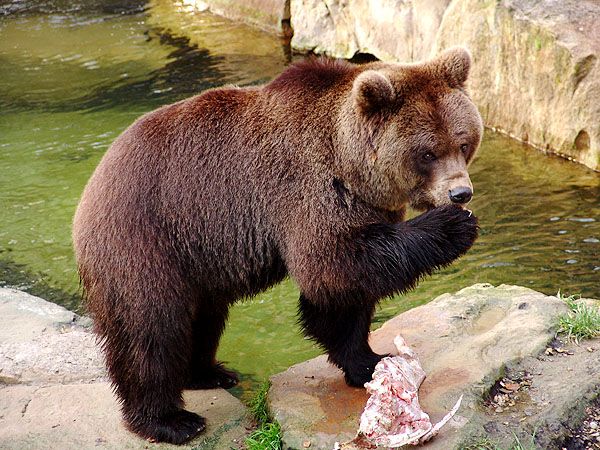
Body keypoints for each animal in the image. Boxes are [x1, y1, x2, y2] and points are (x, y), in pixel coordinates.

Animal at [71, 46, 482, 442]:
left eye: (463, 143)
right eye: (428, 153)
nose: (461, 193)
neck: (350, 165)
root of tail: (91, 188)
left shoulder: (366, 205)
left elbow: (345, 293)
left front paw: (367, 360)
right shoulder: (309, 188)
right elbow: (332, 265)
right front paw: (453, 226)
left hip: (196, 254)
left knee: (203, 315)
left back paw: (209, 372)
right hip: (147, 238)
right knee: (152, 329)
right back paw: (170, 420)